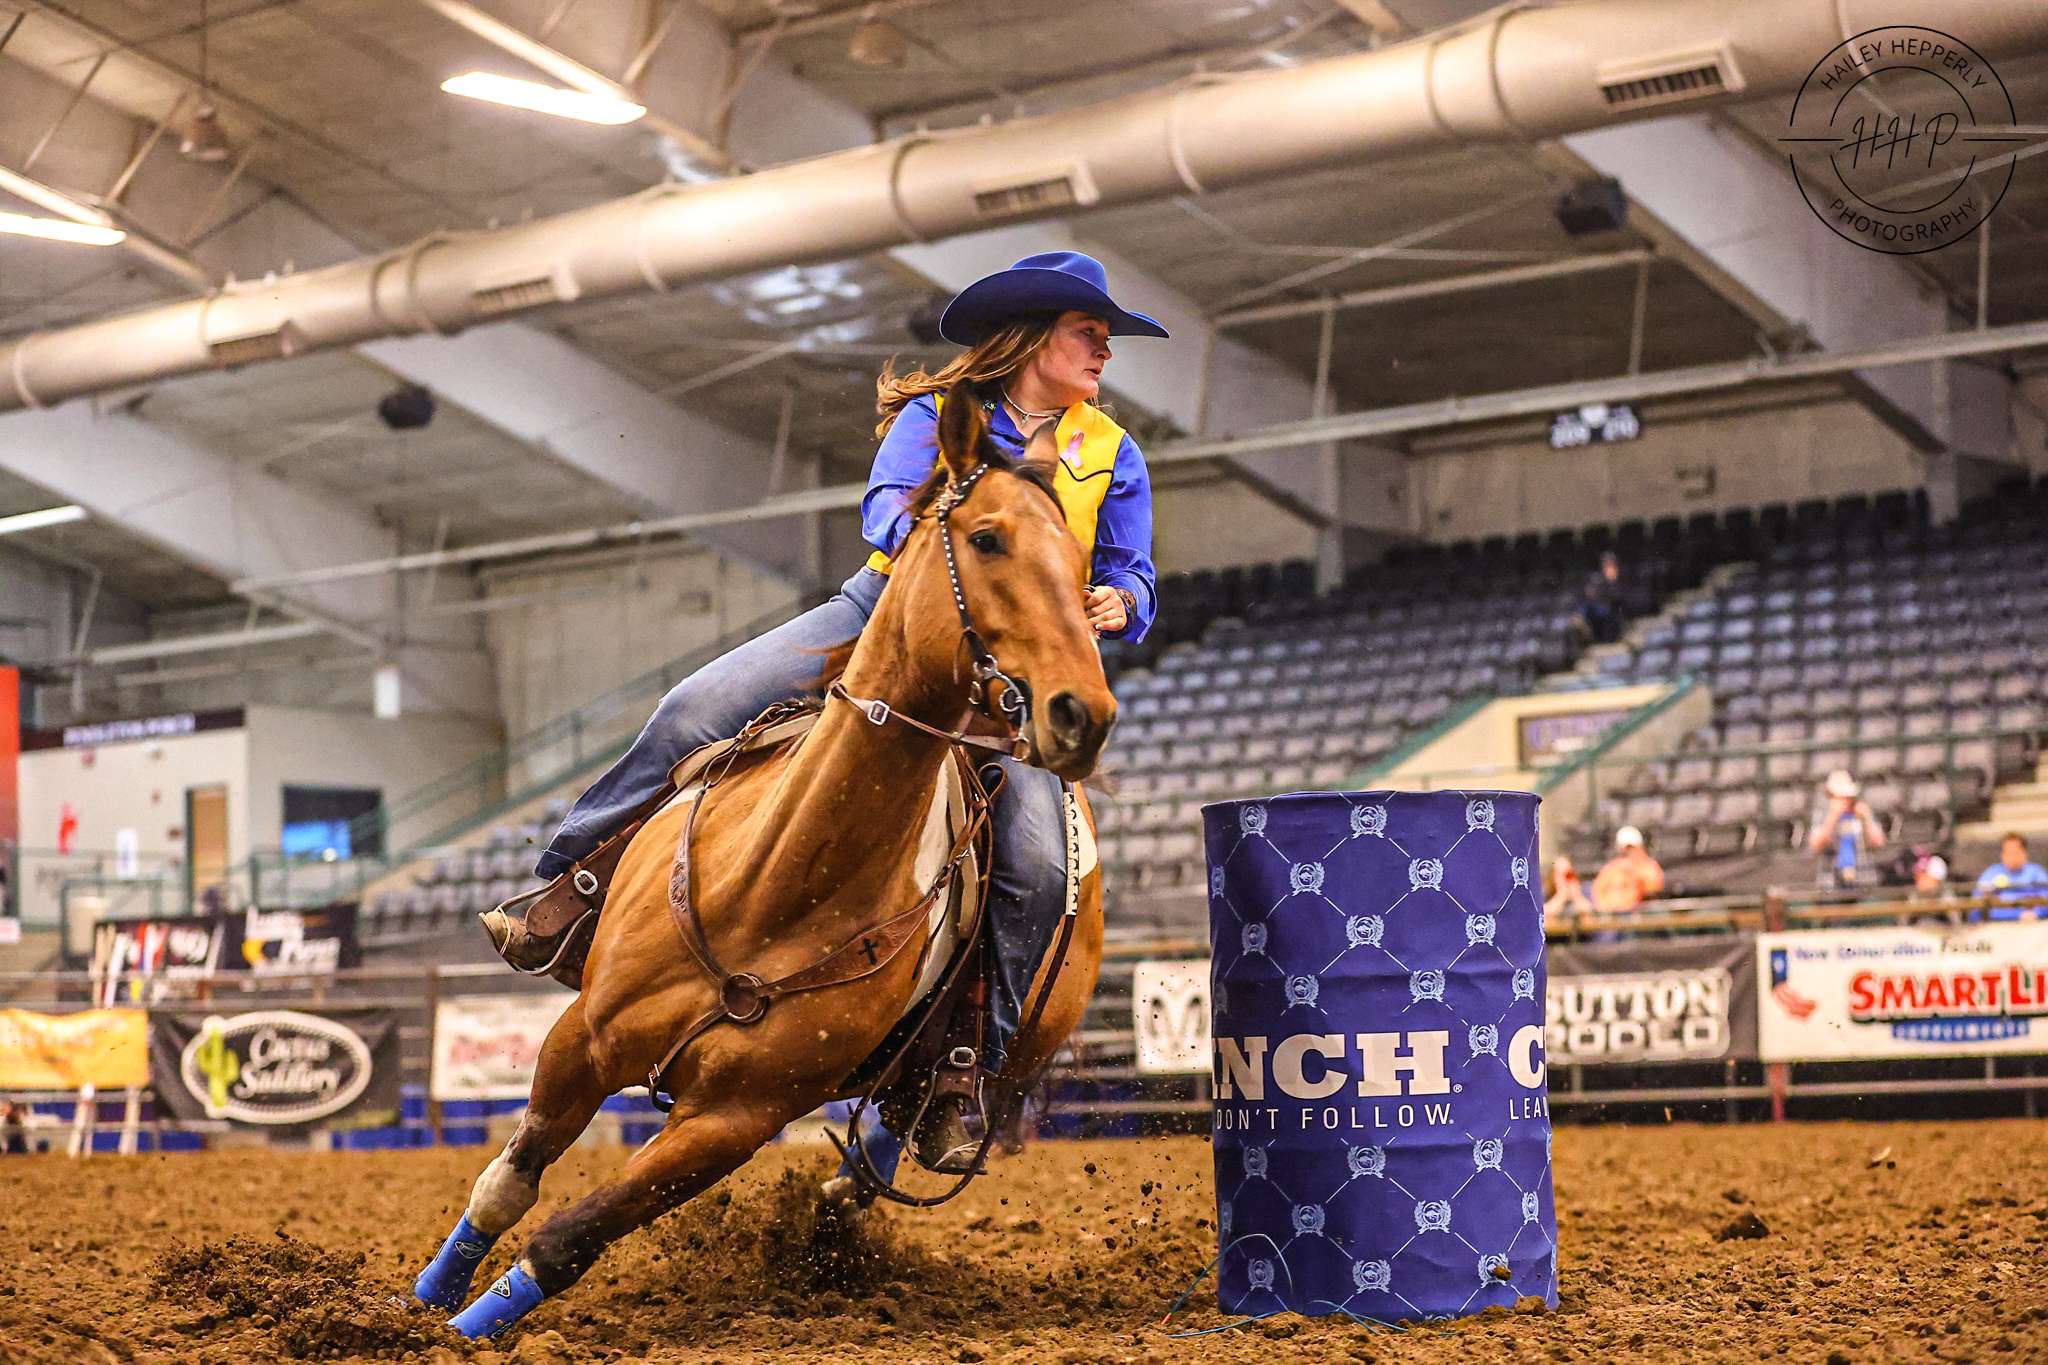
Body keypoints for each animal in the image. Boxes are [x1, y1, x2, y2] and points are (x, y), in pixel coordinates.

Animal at [413, 378, 1114, 1342]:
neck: (777, 883)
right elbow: (506, 1181)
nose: (1083, 713)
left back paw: (843, 1206)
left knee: (914, 1120)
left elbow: (567, 1236)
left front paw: (457, 1333)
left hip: (992, 1056)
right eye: (987, 537)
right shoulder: (581, 1036)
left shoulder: (733, 1121)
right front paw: (418, 1305)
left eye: (1081, 567)